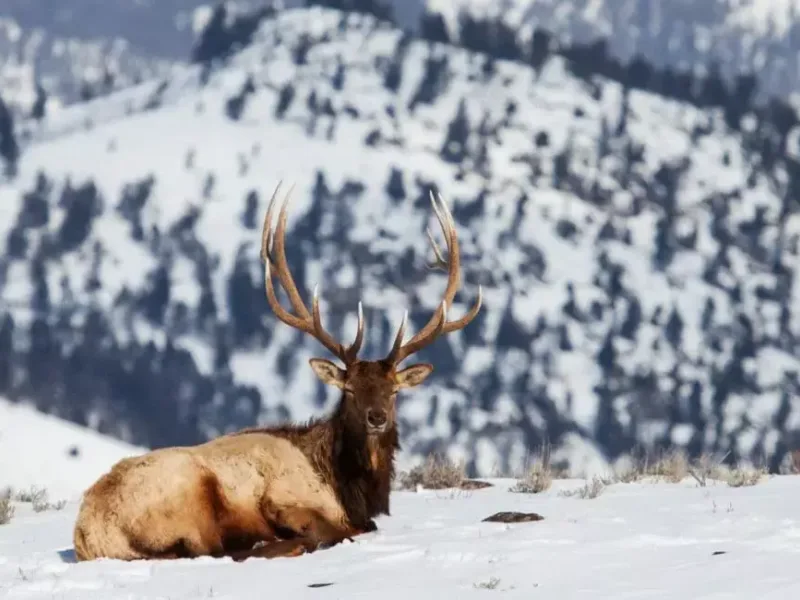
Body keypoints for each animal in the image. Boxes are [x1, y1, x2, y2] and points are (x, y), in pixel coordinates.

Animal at [72, 182, 482, 562]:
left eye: (394, 391)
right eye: (348, 390)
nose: (377, 417)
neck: (347, 487)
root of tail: (88, 534)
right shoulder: (284, 499)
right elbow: (344, 530)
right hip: (188, 494)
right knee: (217, 550)